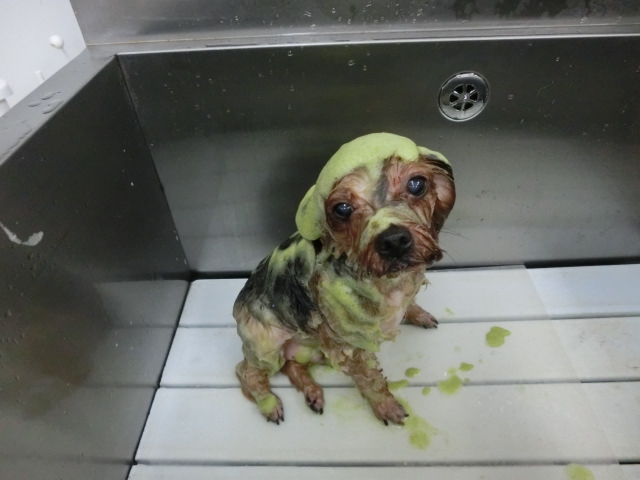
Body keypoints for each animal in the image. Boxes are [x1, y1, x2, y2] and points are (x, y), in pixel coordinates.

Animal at [233, 132, 455, 425]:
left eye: (417, 184)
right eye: (342, 209)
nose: (394, 240)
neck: (388, 284)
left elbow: (409, 304)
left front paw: (417, 313)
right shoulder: (351, 347)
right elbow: (371, 381)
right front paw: (386, 406)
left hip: (310, 346)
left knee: (292, 364)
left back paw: (312, 392)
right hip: (266, 346)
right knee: (245, 371)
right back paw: (269, 403)